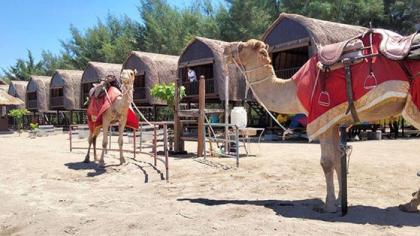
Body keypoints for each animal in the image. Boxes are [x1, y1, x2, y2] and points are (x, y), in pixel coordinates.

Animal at [225, 37, 418, 213]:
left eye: (241, 47)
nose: (226, 49)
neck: (295, 88)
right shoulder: (333, 121)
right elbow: (338, 161)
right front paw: (340, 201)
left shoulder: (322, 117)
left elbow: (326, 162)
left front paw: (329, 205)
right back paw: (409, 204)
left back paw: (411, 204)